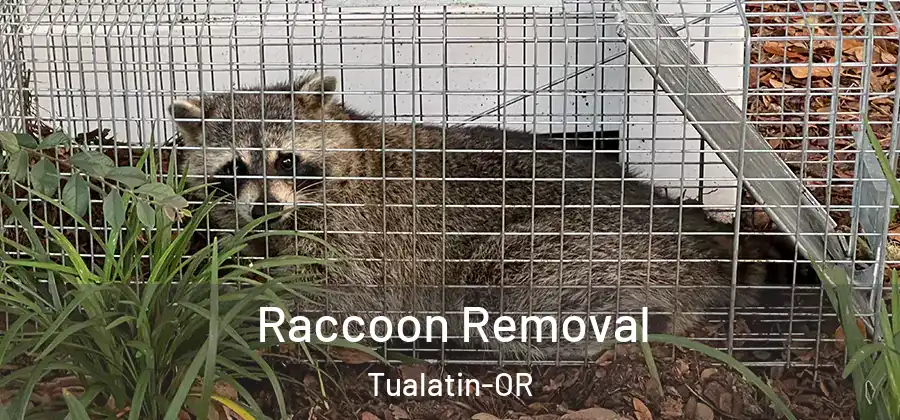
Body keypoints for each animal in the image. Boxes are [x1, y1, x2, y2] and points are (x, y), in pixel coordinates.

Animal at [168, 73, 795, 360]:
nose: (265, 207)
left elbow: (341, 296)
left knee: (509, 285)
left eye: (286, 160)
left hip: (580, 248)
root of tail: (697, 244)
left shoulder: (363, 236)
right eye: (234, 168)